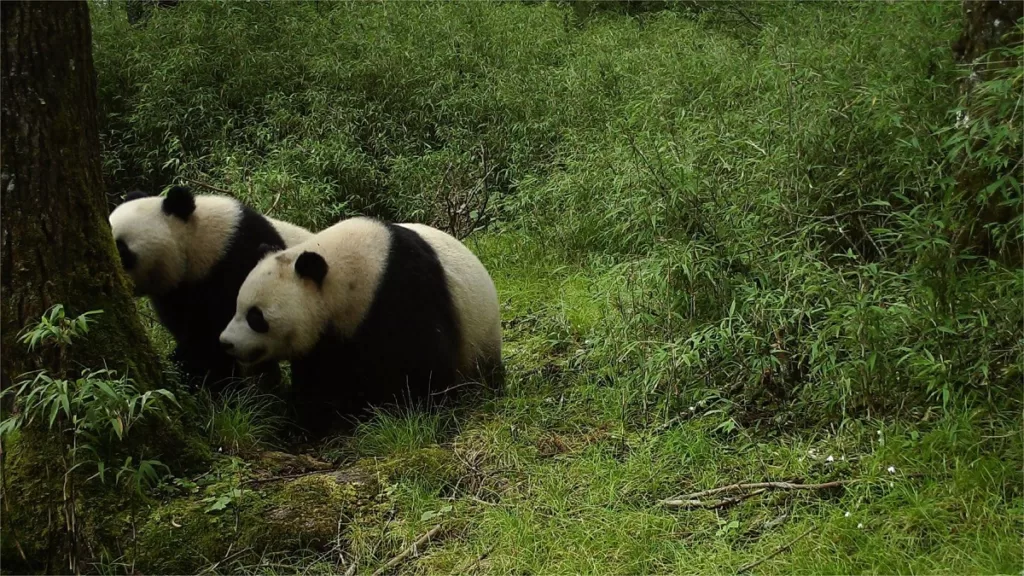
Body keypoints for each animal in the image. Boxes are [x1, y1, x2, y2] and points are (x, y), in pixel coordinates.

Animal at [217, 217, 502, 432]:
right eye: (237, 307)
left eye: (256, 318)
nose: (226, 342)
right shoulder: (326, 338)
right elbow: (319, 375)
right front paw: (312, 419)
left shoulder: (403, 292)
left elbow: (425, 360)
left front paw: (419, 412)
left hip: (481, 336)